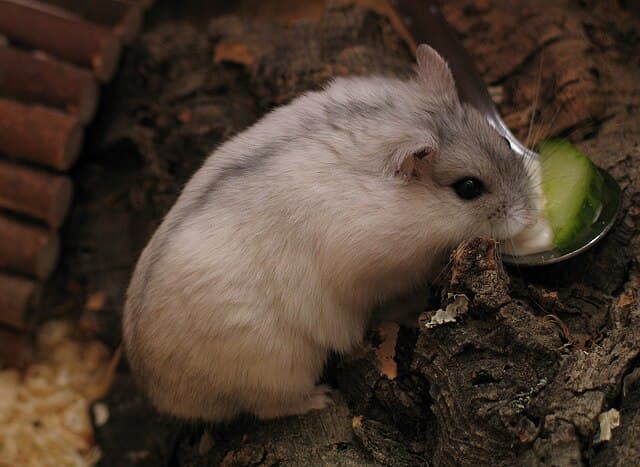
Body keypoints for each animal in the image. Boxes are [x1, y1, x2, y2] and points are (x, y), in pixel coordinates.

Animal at [122, 44, 536, 421]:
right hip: (278, 367)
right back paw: (322, 398)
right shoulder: (379, 272)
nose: (530, 215)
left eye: (502, 141)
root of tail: (157, 391)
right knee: (269, 407)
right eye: (468, 188)